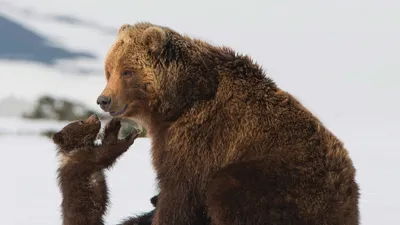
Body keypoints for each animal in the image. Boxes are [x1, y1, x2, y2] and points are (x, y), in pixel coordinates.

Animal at [96, 22, 360, 225]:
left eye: (127, 71)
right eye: (109, 70)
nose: (104, 100)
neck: (179, 99)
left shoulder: (200, 138)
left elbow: (180, 192)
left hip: (285, 181)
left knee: (227, 190)